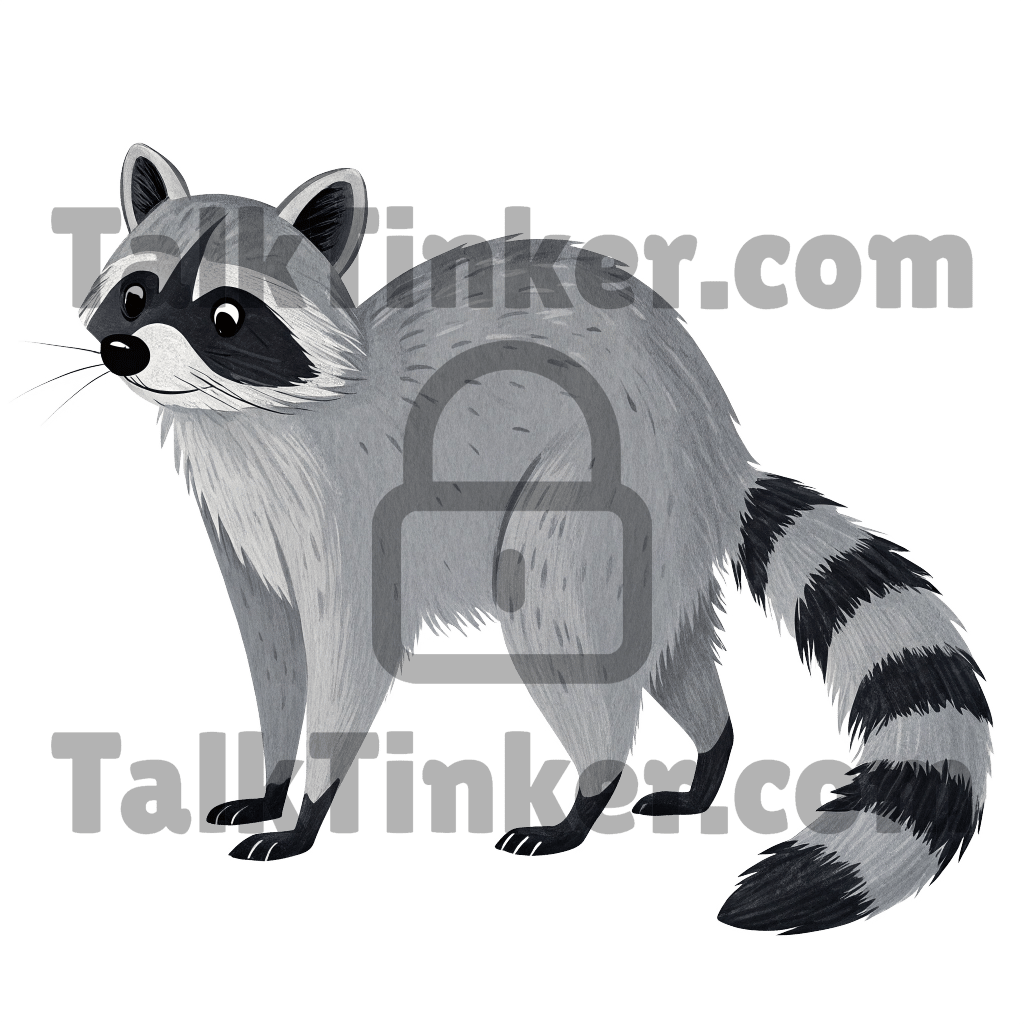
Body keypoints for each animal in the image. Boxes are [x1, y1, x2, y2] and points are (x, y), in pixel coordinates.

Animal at [43, 142, 993, 935]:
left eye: (227, 316)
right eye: (135, 293)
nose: (126, 350)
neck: (246, 420)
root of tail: (722, 447)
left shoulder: (356, 512)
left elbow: (352, 648)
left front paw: (309, 804)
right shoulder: (246, 536)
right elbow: (275, 647)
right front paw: (270, 779)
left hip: (609, 480)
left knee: (559, 614)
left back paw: (590, 793)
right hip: (662, 532)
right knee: (671, 646)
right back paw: (707, 756)